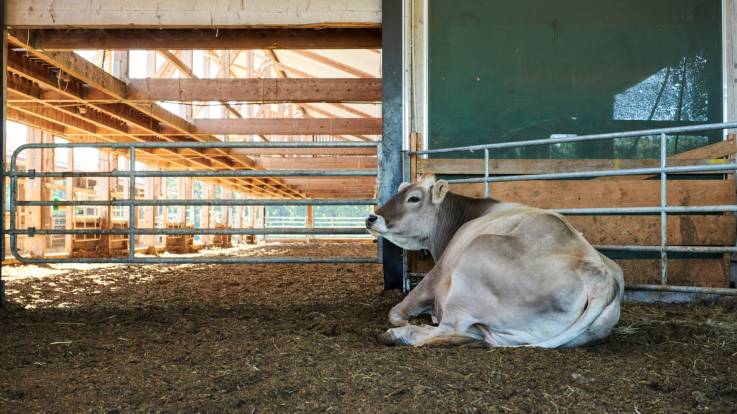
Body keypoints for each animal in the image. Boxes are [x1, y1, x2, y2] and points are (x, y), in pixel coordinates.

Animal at [366, 173, 624, 348]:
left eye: (414, 198)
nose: (371, 217)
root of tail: (597, 275)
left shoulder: (436, 276)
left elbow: (397, 312)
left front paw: (404, 323)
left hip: (473, 262)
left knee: (449, 329)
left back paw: (399, 335)